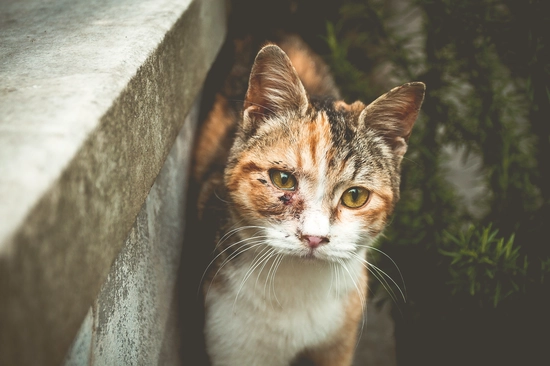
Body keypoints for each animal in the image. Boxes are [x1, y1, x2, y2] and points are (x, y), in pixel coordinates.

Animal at [194, 34, 426, 366]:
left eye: (355, 196)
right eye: (282, 179)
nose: (314, 238)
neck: (299, 289)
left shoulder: (339, 340)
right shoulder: (233, 343)